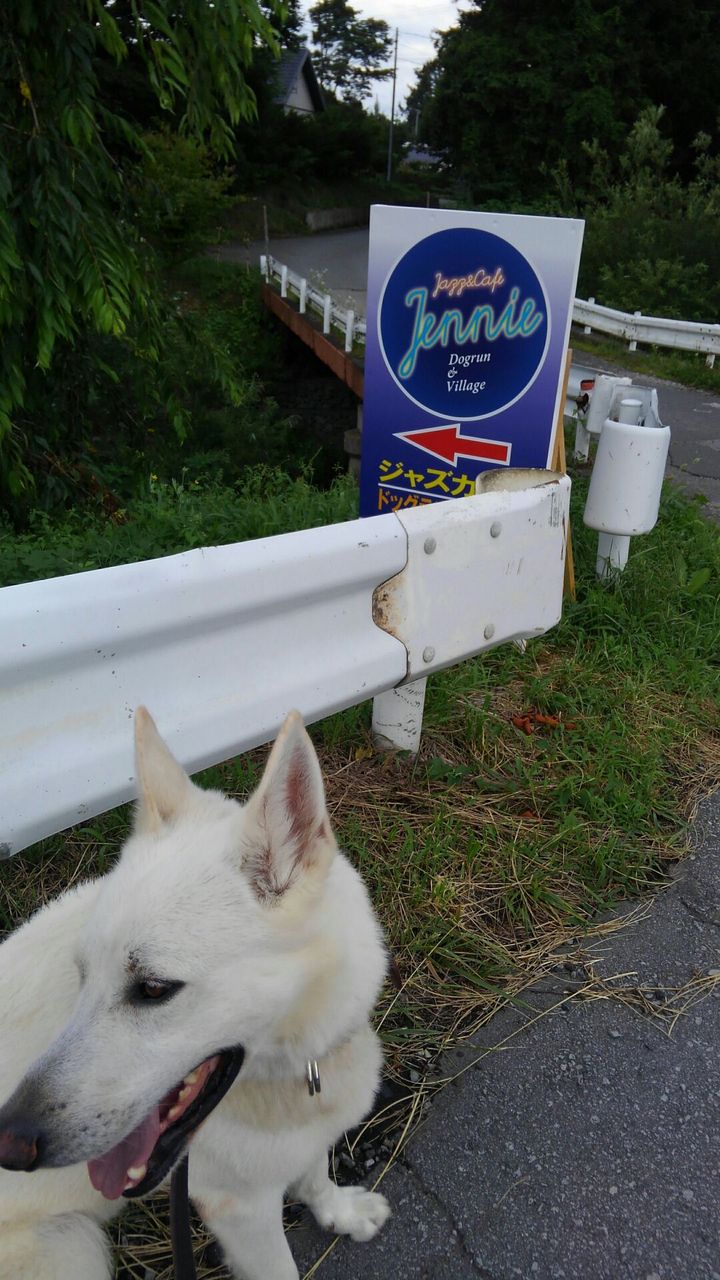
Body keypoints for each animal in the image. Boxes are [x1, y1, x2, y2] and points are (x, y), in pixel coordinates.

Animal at [0, 708, 390, 1279]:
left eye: (153, 988)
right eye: (83, 974)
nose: (10, 1144)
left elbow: (315, 1171)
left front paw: (337, 1211)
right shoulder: (243, 1210)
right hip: (75, 1246)